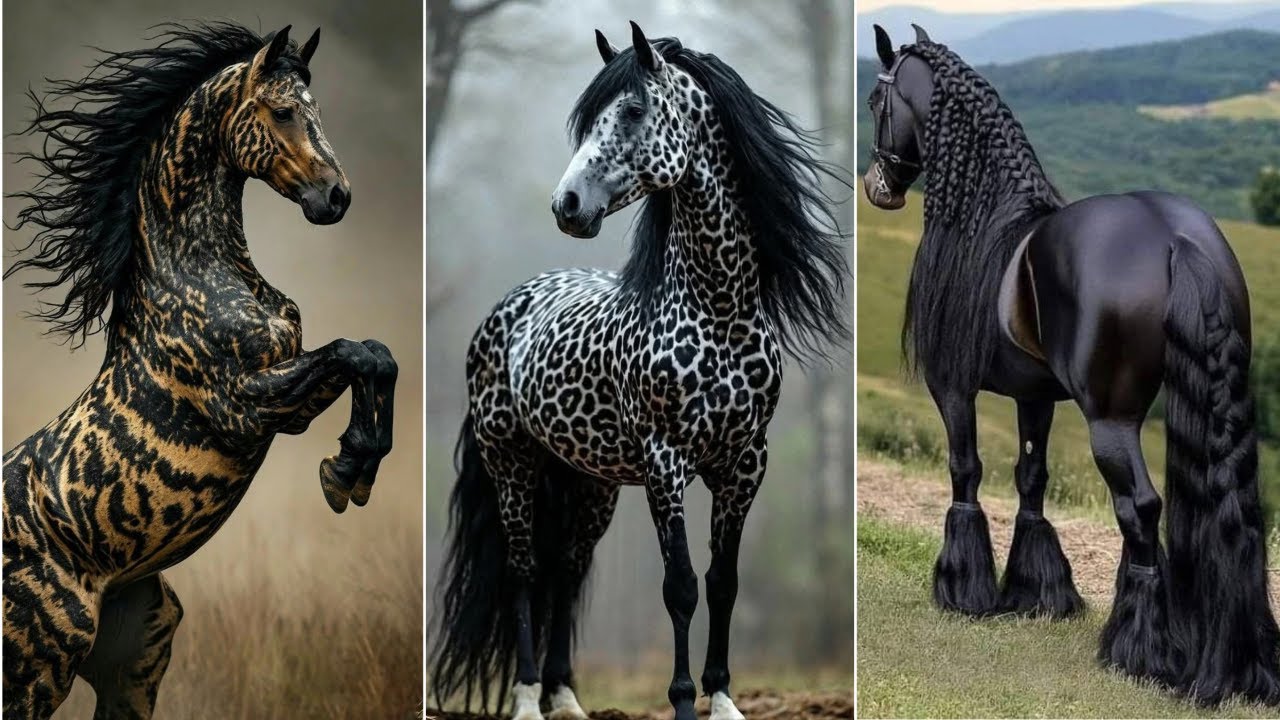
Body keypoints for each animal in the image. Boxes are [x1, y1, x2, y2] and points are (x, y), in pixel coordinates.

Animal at [3, 23, 396, 719]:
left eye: (315, 107)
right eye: (283, 111)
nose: (337, 196)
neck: (193, 271)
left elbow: (375, 355)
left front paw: (352, 471)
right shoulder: (249, 403)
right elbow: (353, 353)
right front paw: (343, 473)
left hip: (138, 650)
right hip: (42, 660)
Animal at [429, 22, 847, 720]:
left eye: (629, 111)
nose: (566, 205)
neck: (717, 313)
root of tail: (507, 308)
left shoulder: (745, 464)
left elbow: (723, 582)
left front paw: (723, 700)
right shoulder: (664, 461)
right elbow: (680, 587)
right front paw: (682, 702)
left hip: (588, 481)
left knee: (566, 572)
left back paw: (567, 699)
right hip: (511, 461)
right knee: (524, 571)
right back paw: (526, 699)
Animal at [863, 24, 1279, 706]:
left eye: (877, 100)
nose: (879, 188)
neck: (984, 215)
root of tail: (1175, 239)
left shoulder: (950, 387)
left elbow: (966, 471)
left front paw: (964, 591)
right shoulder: (1034, 397)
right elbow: (1032, 480)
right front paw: (1038, 594)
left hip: (1110, 420)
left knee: (1140, 508)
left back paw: (1135, 650)